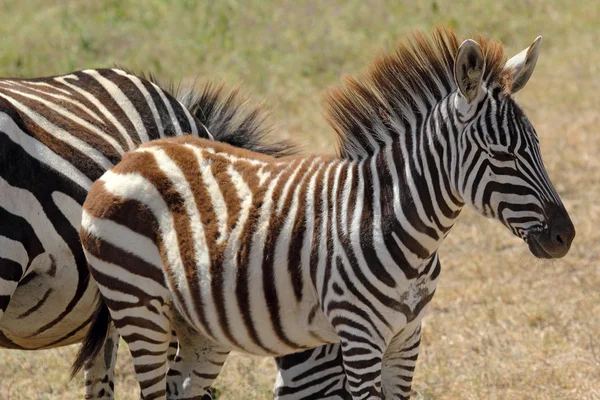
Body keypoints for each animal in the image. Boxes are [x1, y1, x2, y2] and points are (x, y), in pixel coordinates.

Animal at [74, 28, 572, 400]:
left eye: (537, 146)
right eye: (500, 154)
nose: (564, 236)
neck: (389, 221)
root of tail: (133, 154)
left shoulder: (406, 340)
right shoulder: (359, 338)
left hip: (195, 324)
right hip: (138, 306)